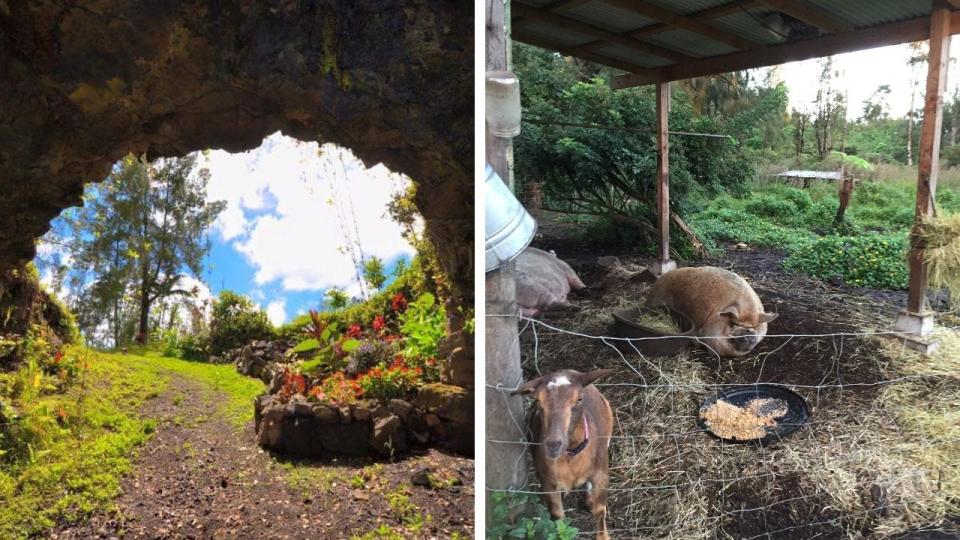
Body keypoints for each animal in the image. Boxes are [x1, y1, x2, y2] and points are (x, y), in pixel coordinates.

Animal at [516, 370, 616, 536]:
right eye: (537, 401)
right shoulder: (548, 481)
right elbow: (558, 517)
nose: (552, 445)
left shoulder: (601, 475)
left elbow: (600, 511)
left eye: (579, 399)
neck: (571, 455)